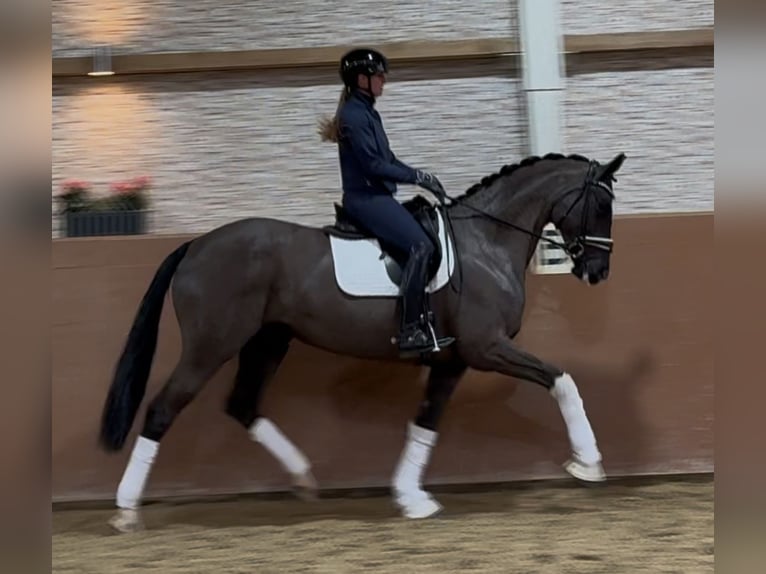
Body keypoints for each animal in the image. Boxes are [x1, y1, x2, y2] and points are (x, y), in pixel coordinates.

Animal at [97, 151, 624, 532]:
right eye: (601, 206)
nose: (597, 272)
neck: (486, 243)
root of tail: (195, 246)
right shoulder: (486, 348)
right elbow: (561, 380)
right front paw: (588, 463)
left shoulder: (452, 360)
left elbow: (425, 422)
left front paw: (411, 498)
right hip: (211, 346)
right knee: (162, 410)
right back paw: (126, 510)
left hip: (268, 341)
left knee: (243, 404)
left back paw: (304, 478)